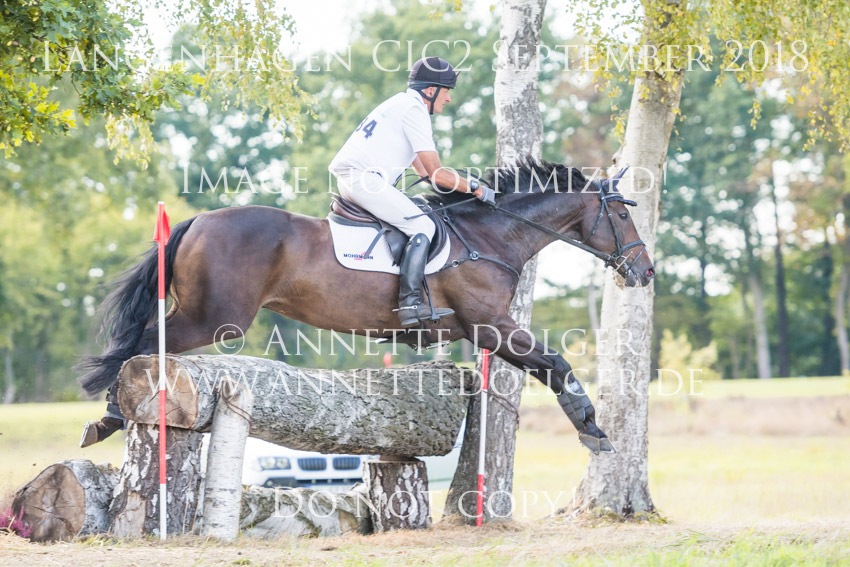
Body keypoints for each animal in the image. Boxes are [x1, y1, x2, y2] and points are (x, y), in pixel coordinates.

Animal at [77, 159, 655, 454]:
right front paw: (592, 428)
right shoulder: (491, 325)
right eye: (625, 217)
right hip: (215, 318)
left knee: (144, 343)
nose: (646, 272)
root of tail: (198, 219)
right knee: (143, 344)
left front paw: (590, 426)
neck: (489, 234)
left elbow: (548, 365)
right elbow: (556, 362)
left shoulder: (481, 331)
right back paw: (111, 413)